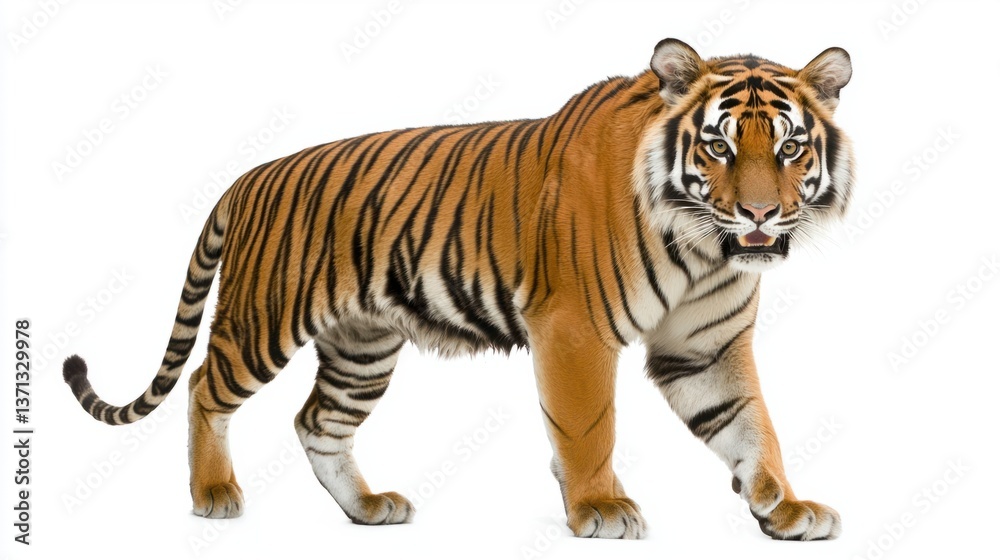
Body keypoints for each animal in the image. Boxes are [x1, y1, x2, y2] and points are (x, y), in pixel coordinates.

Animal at [63, 38, 854, 540]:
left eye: (790, 146)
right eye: (718, 145)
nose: (760, 214)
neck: (703, 249)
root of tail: (248, 177)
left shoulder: (705, 348)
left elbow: (752, 426)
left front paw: (783, 508)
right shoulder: (573, 328)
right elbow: (589, 427)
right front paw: (600, 508)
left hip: (361, 348)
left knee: (318, 422)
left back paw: (366, 509)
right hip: (263, 322)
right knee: (204, 386)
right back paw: (213, 495)